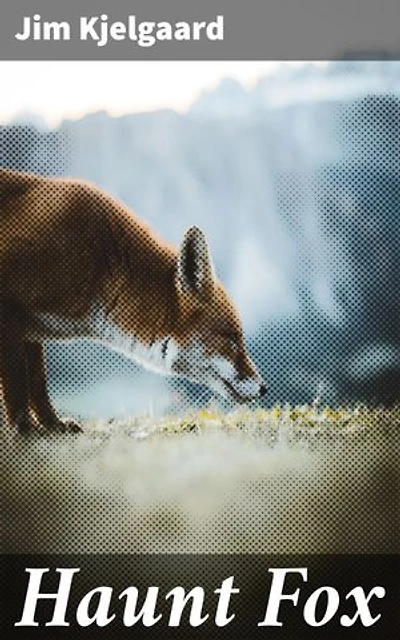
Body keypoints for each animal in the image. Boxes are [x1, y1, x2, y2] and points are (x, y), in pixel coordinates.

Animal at [0, 168, 266, 434]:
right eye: (231, 339)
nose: (264, 388)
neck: (99, 260)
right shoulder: (11, 310)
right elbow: (17, 382)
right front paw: (25, 431)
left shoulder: (31, 331)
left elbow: (37, 383)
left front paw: (53, 425)